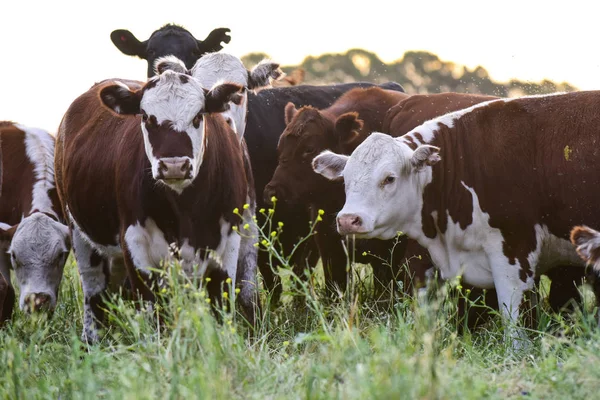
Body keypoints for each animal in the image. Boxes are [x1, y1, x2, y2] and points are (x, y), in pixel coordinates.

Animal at [57, 57, 258, 342]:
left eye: (198, 116)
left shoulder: (229, 241)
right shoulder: (135, 244)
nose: (173, 165)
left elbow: (222, 305)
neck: (186, 209)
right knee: (93, 287)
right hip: (79, 232)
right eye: (146, 117)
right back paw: (91, 338)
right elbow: (152, 311)